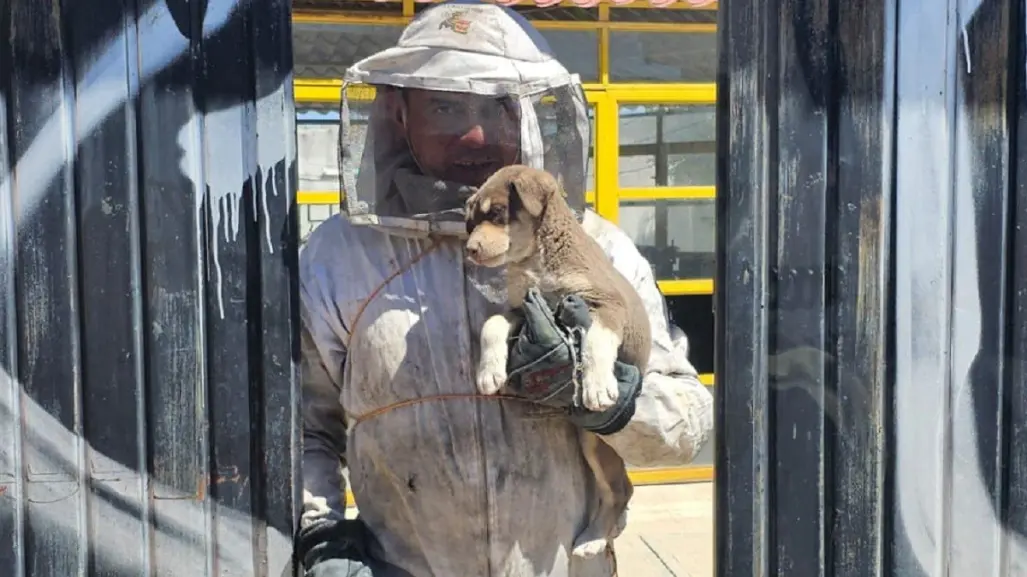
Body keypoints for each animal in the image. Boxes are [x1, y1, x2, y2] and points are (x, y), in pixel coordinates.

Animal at [464, 164, 649, 558]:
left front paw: (598, 386)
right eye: (470, 222)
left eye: (498, 213)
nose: (469, 250)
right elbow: (491, 324)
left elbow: (596, 340)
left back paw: (592, 541)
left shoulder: (606, 305)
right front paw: (488, 372)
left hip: (597, 442)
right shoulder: (522, 309)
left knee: (620, 489)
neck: (538, 260)